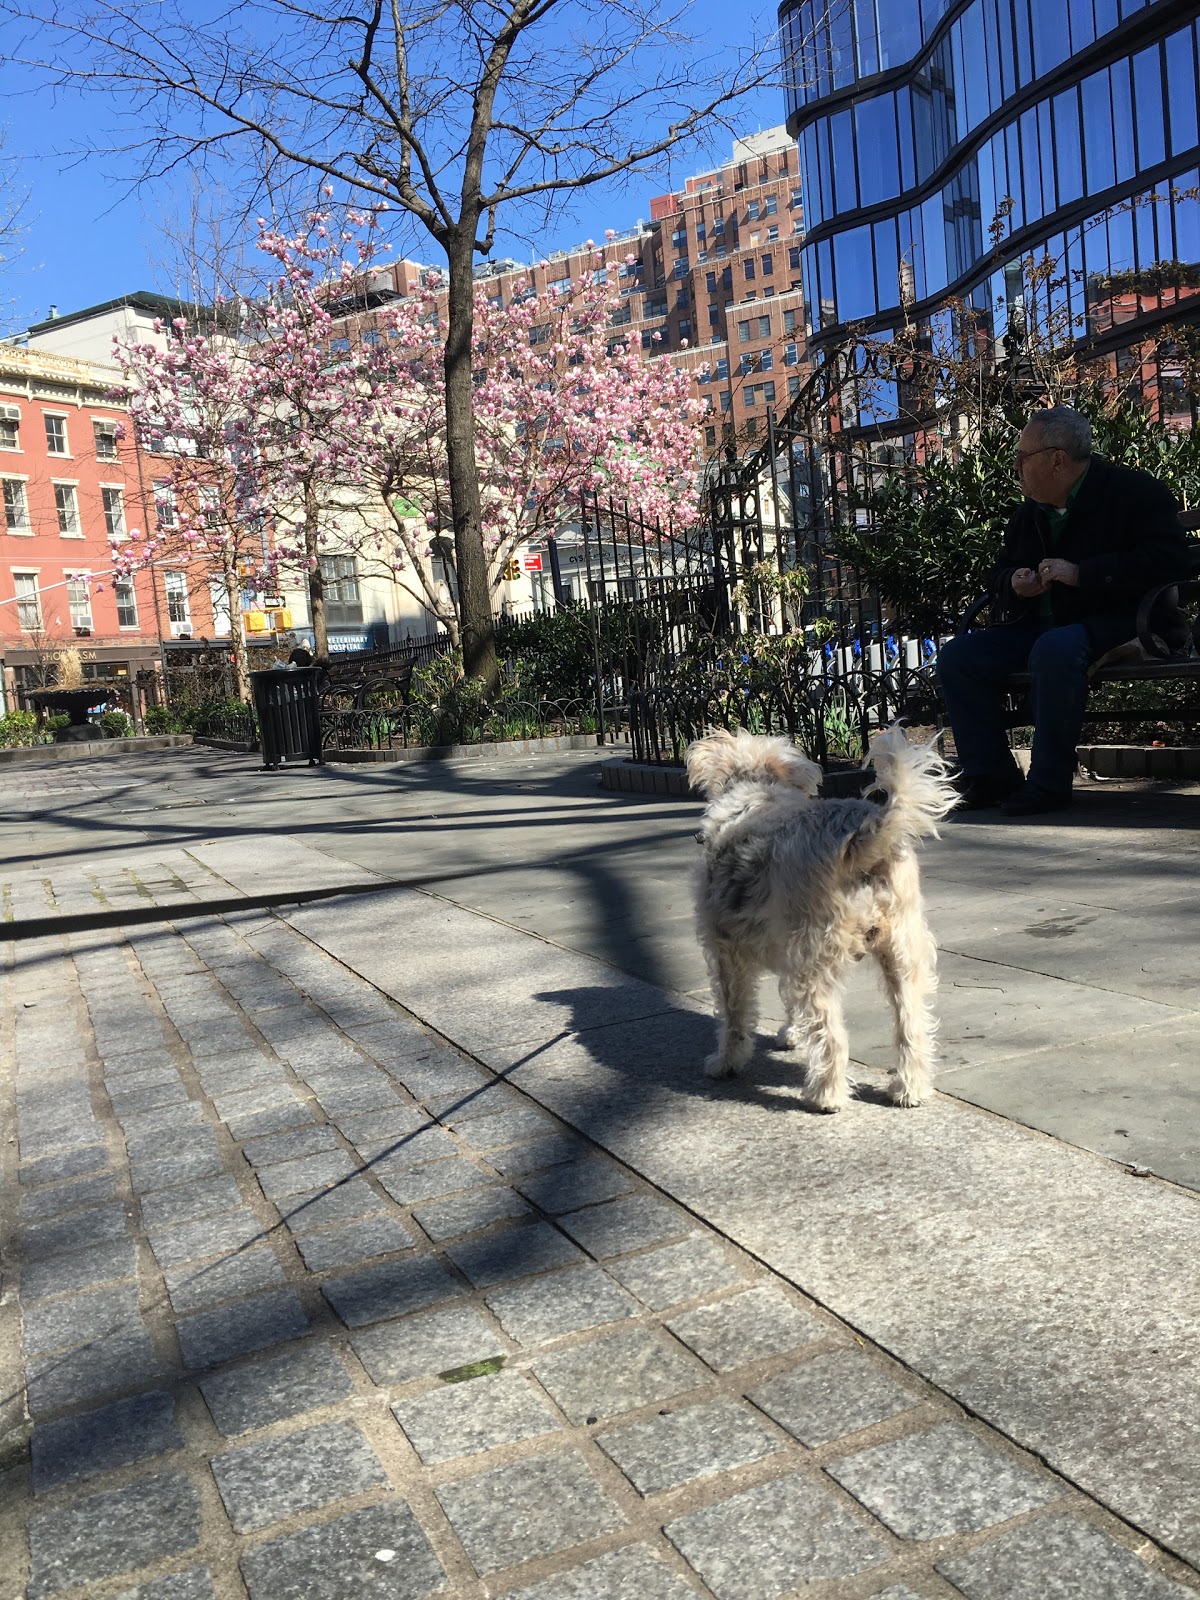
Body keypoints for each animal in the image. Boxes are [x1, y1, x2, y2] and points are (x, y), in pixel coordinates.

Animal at [684, 726, 960, 1113]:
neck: (756, 796)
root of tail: (863, 838)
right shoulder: (783, 948)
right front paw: (791, 1034)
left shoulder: (726, 950)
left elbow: (733, 1014)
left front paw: (726, 1062)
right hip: (904, 954)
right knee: (911, 1026)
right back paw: (909, 1090)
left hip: (816, 959)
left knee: (833, 1034)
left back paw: (826, 1096)